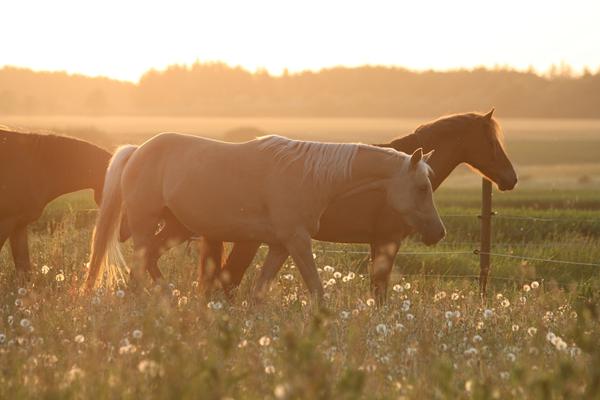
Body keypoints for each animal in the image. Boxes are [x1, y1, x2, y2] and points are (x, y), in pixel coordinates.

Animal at [84, 134, 442, 296]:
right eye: (422, 187)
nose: (439, 233)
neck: (309, 176)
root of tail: (137, 150)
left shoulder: (280, 246)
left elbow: (258, 293)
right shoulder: (298, 242)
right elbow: (317, 290)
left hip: (174, 228)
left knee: (151, 261)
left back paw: (170, 297)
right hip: (145, 224)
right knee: (138, 269)